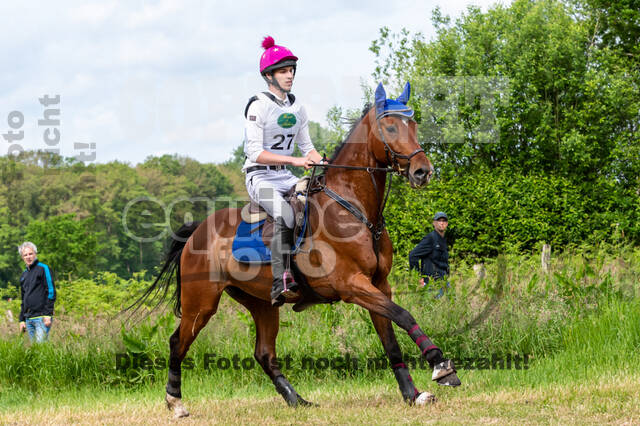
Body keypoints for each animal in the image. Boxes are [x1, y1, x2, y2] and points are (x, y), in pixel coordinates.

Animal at [139, 82, 461, 418]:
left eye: (414, 125)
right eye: (390, 127)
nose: (423, 171)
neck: (355, 209)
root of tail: (197, 232)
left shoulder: (378, 285)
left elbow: (391, 338)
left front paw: (413, 394)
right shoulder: (352, 285)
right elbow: (404, 315)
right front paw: (441, 366)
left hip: (261, 303)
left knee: (264, 353)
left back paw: (298, 401)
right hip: (200, 303)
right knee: (178, 342)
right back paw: (175, 402)